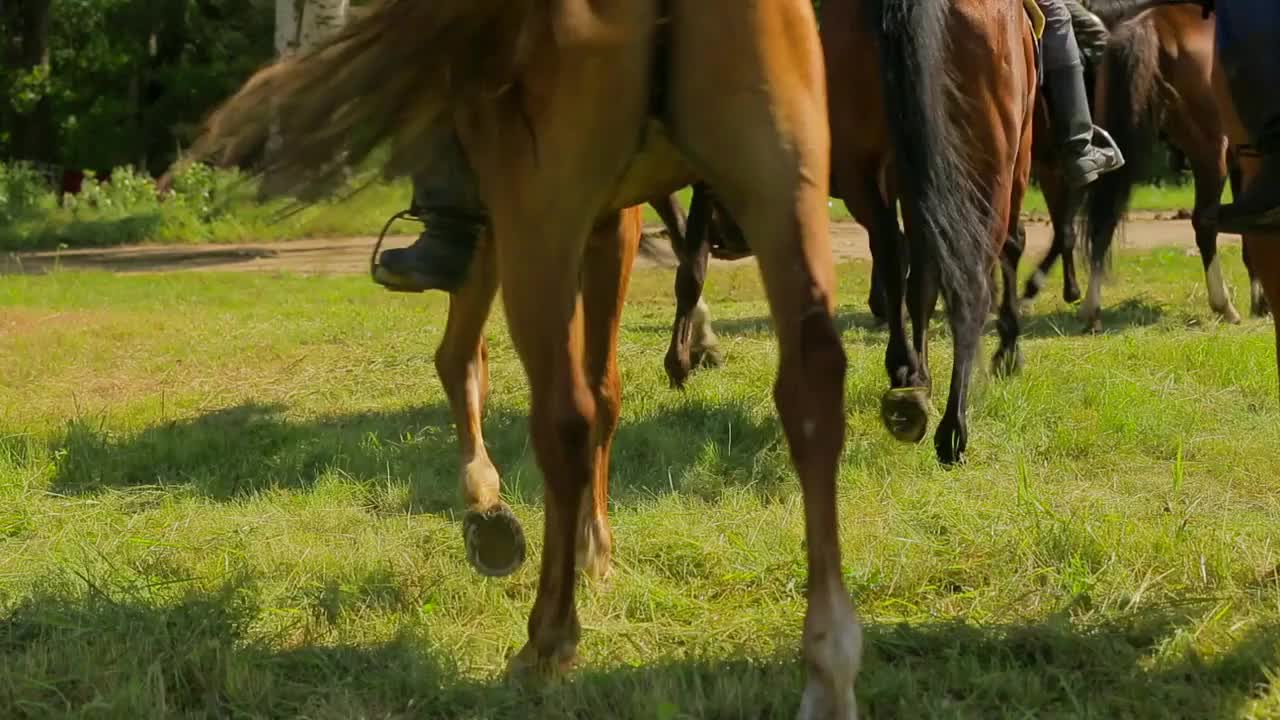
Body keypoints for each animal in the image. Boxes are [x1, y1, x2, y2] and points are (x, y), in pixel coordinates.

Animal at [186, 0, 988, 707]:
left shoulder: (520, 221)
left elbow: (471, 360)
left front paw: (491, 512)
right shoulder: (612, 225)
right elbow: (606, 390)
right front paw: (592, 545)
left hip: (543, 214)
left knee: (559, 415)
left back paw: (547, 639)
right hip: (778, 183)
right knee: (811, 387)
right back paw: (828, 666)